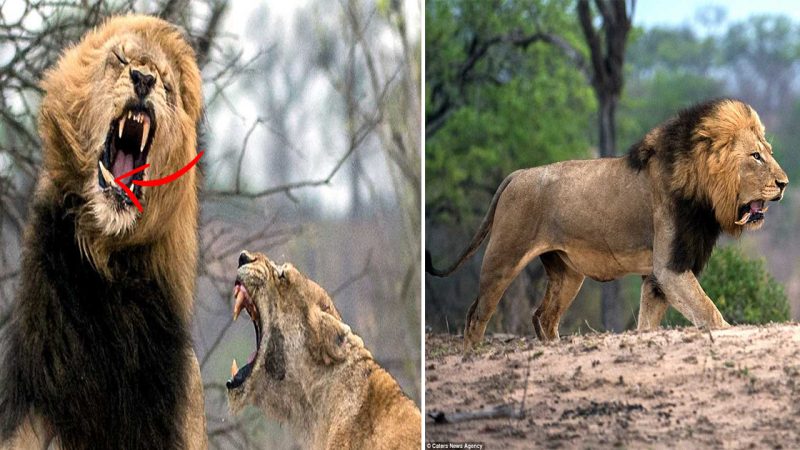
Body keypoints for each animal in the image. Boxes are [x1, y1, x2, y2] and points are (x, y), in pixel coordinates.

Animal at [428, 99, 792, 352]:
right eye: (756, 156)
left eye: (768, 152)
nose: (784, 183)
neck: (704, 196)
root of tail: (516, 174)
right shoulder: (669, 267)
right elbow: (709, 313)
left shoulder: (659, 276)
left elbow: (648, 321)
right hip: (503, 257)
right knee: (477, 314)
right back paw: (471, 356)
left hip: (567, 272)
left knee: (543, 316)